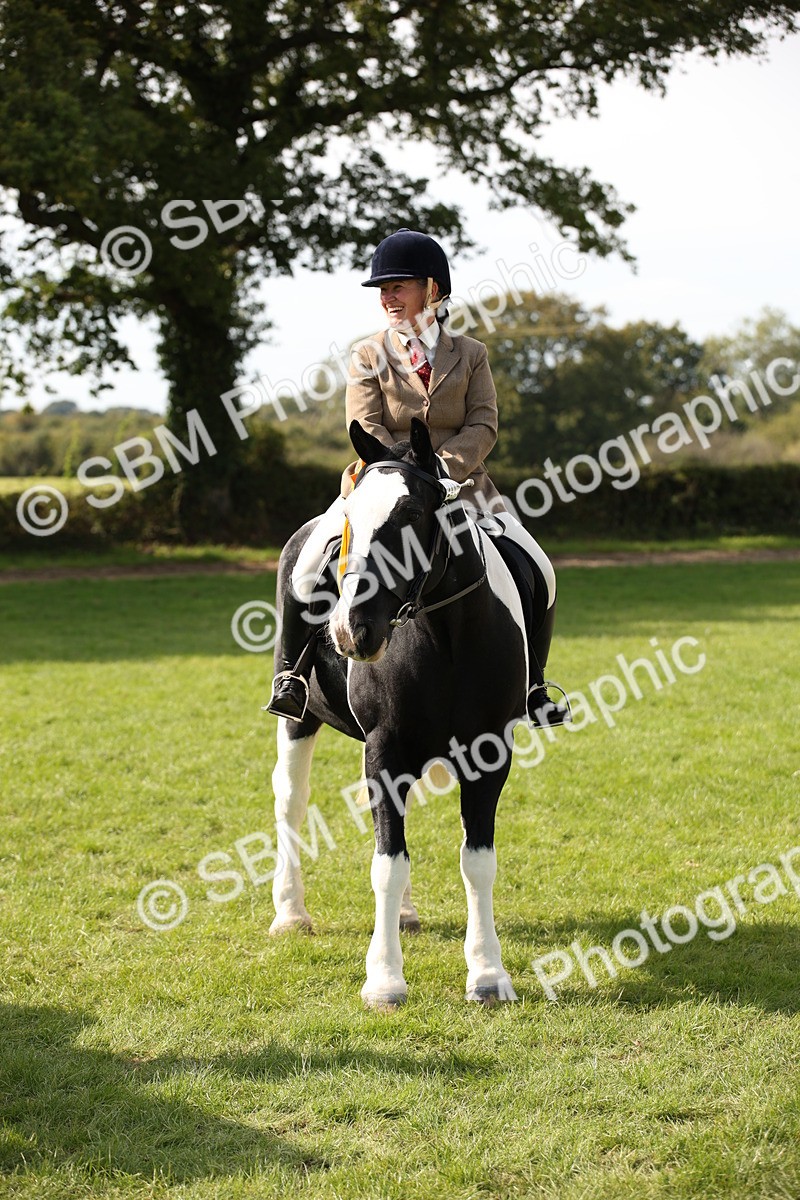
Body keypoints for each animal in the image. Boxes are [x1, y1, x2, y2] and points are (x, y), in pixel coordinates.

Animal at [268, 417, 530, 1008]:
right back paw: (291, 913)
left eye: (411, 514)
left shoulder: (489, 754)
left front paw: (487, 973)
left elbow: (477, 861)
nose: (350, 630)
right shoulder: (385, 752)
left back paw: (407, 915)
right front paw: (385, 979)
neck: (445, 635)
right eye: (351, 517)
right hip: (298, 718)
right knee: (291, 801)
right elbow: (387, 863)